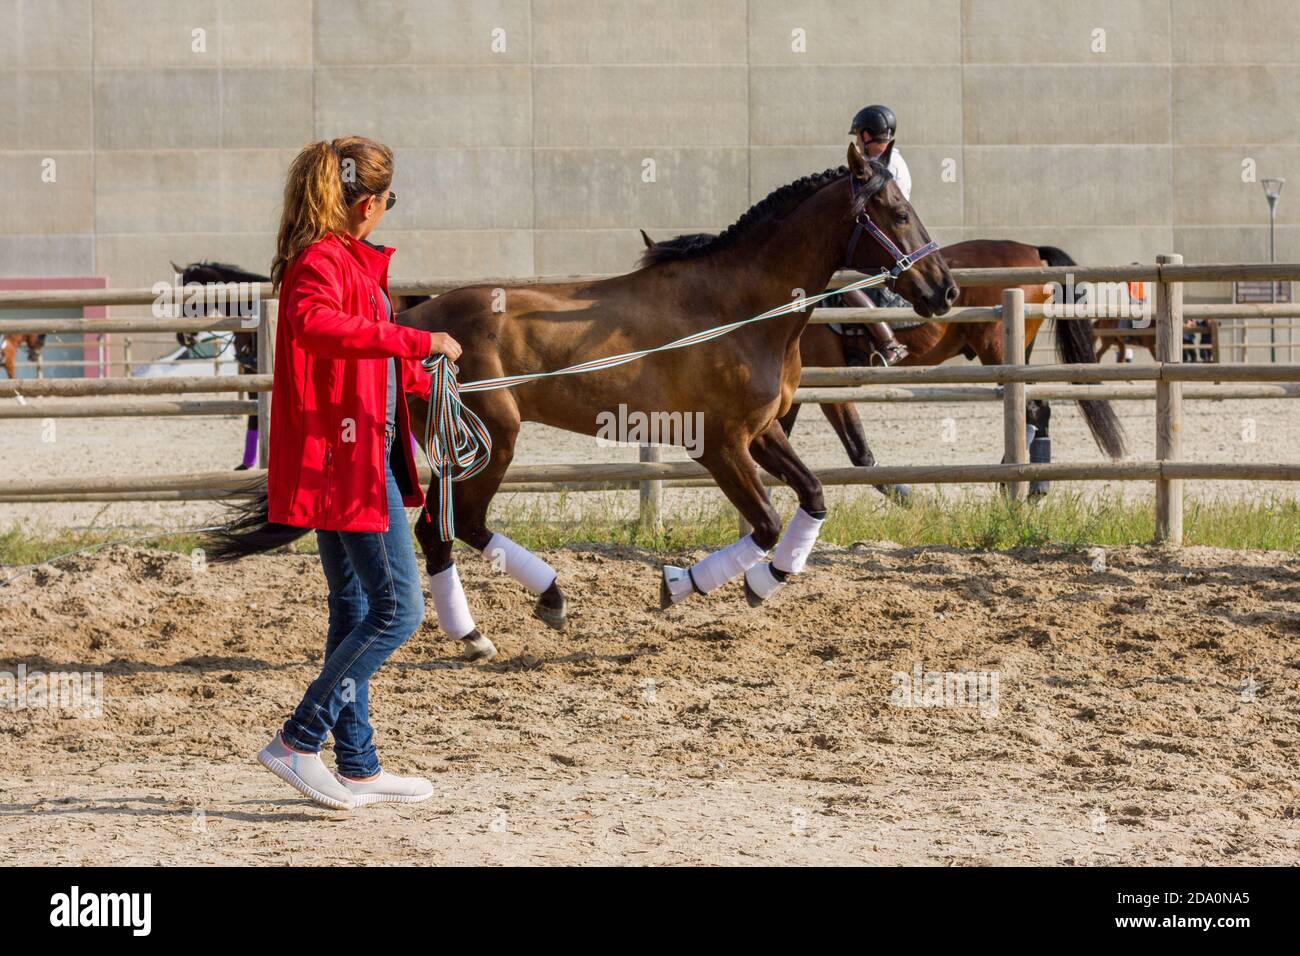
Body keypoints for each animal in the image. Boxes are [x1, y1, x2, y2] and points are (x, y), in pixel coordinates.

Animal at [210, 145, 956, 655]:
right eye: (895, 211)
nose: (944, 290)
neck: (737, 309)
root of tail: (414, 321)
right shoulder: (719, 447)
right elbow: (770, 523)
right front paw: (695, 584)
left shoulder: (762, 434)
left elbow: (814, 498)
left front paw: (748, 583)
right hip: (489, 442)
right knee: (451, 529)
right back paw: (518, 613)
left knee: (446, 533)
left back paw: (499, 622)